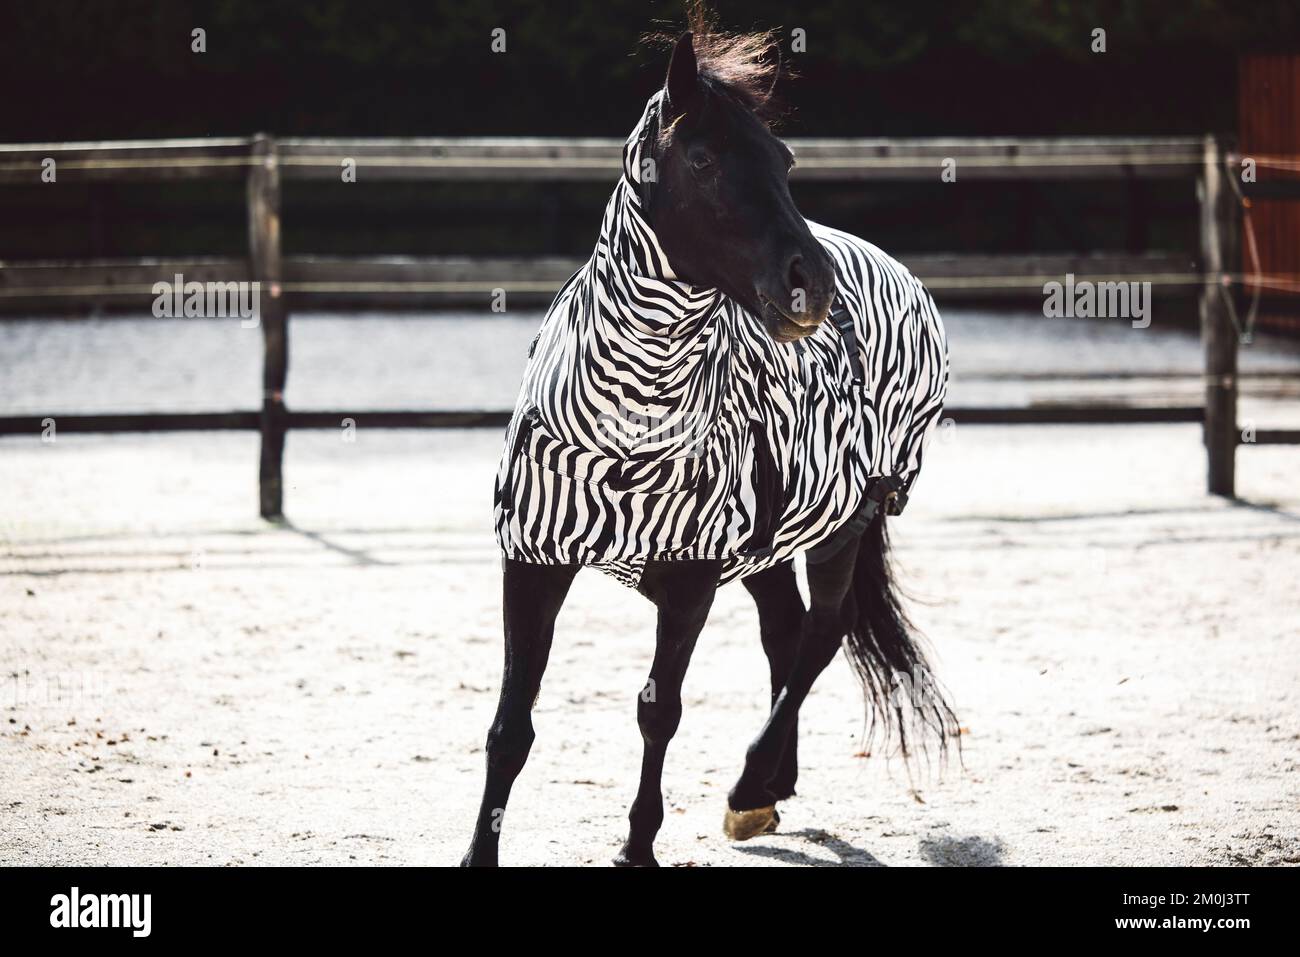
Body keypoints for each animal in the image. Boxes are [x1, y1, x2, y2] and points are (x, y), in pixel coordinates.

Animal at [462, 27, 961, 868]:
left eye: (784, 160)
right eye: (701, 160)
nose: (810, 284)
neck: (628, 423)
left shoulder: (690, 581)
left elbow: (658, 710)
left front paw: (637, 844)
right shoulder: (532, 563)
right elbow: (510, 724)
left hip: (845, 524)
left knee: (819, 636)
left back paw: (750, 785)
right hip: (772, 541)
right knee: (785, 632)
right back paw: (769, 787)